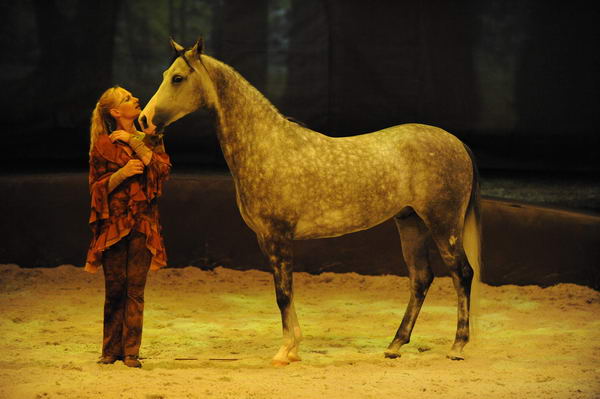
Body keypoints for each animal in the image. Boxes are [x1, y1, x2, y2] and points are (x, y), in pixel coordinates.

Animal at [139, 39, 482, 368]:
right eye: (166, 75)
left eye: (178, 78)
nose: (143, 120)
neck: (268, 147)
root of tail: (459, 144)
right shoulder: (266, 239)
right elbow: (287, 294)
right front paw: (294, 350)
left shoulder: (278, 237)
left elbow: (283, 294)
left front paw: (284, 352)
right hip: (411, 223)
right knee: (421, 278)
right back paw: (395, 346)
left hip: (443, 225)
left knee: (462, 274)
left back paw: (457, 347)